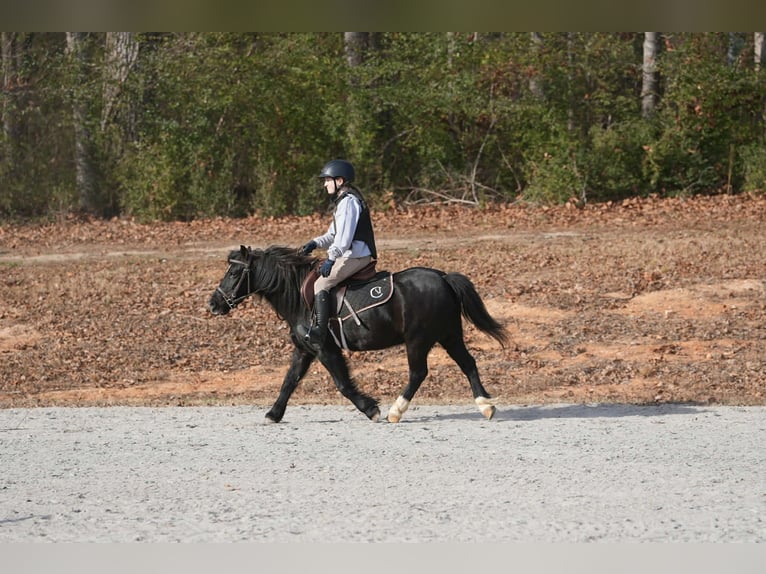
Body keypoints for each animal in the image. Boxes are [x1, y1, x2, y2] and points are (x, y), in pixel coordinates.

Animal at [208, 245, 509, 423]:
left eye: (233, 273)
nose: (213, 304)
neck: (299, 297)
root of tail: (443, 277)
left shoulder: (324, 349)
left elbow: (342, 384)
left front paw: (370, 409)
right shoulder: (304, 349)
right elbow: (289, 381)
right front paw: (273, 413)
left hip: (418, 340)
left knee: (418, 373)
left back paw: (395, 411)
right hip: (449, 336)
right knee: (468, 364)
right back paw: (485, 406)